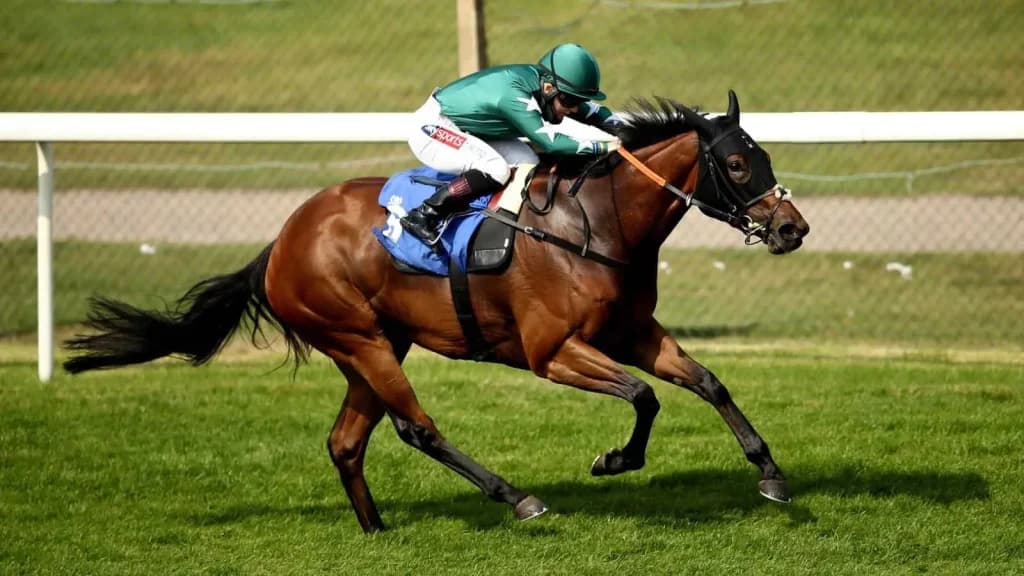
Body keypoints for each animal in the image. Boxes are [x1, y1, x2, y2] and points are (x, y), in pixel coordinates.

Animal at [64, 90, 810, 533]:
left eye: (765, 157)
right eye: (737, 165)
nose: (792, 229)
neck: (597, 221)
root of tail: (283, 240)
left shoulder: (632, 331)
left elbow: (707, 382)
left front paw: (770, 474)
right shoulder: (551, 352)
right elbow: (644, 397)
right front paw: (612, 460)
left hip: (376, 345)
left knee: (346, 441)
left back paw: (375, 529)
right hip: (358, 338)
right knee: (416, 428)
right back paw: (516, 497)